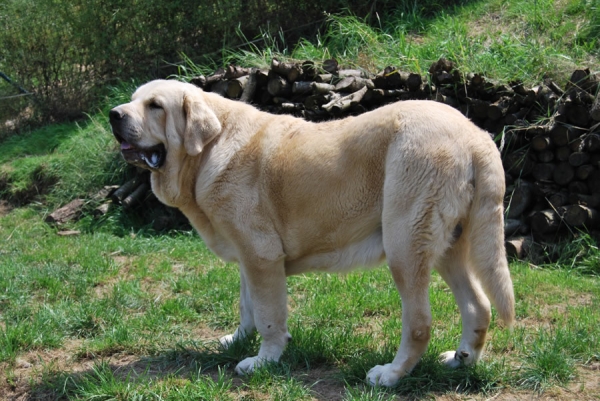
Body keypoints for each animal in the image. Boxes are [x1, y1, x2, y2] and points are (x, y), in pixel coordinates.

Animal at [110, 79, 512, 384]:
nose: (114, 114)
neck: (209, 150)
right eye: (132, 100)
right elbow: (246, 305)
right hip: (449, 247)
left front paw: (264, 360)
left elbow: (268, 315)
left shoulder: (261, 255)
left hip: (404, 245)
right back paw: (460, 360)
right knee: (479, 306)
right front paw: (237, 340)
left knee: (419, 323)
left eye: (155, 106)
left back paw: (391, 375)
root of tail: (475, 135)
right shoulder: (247, 257)